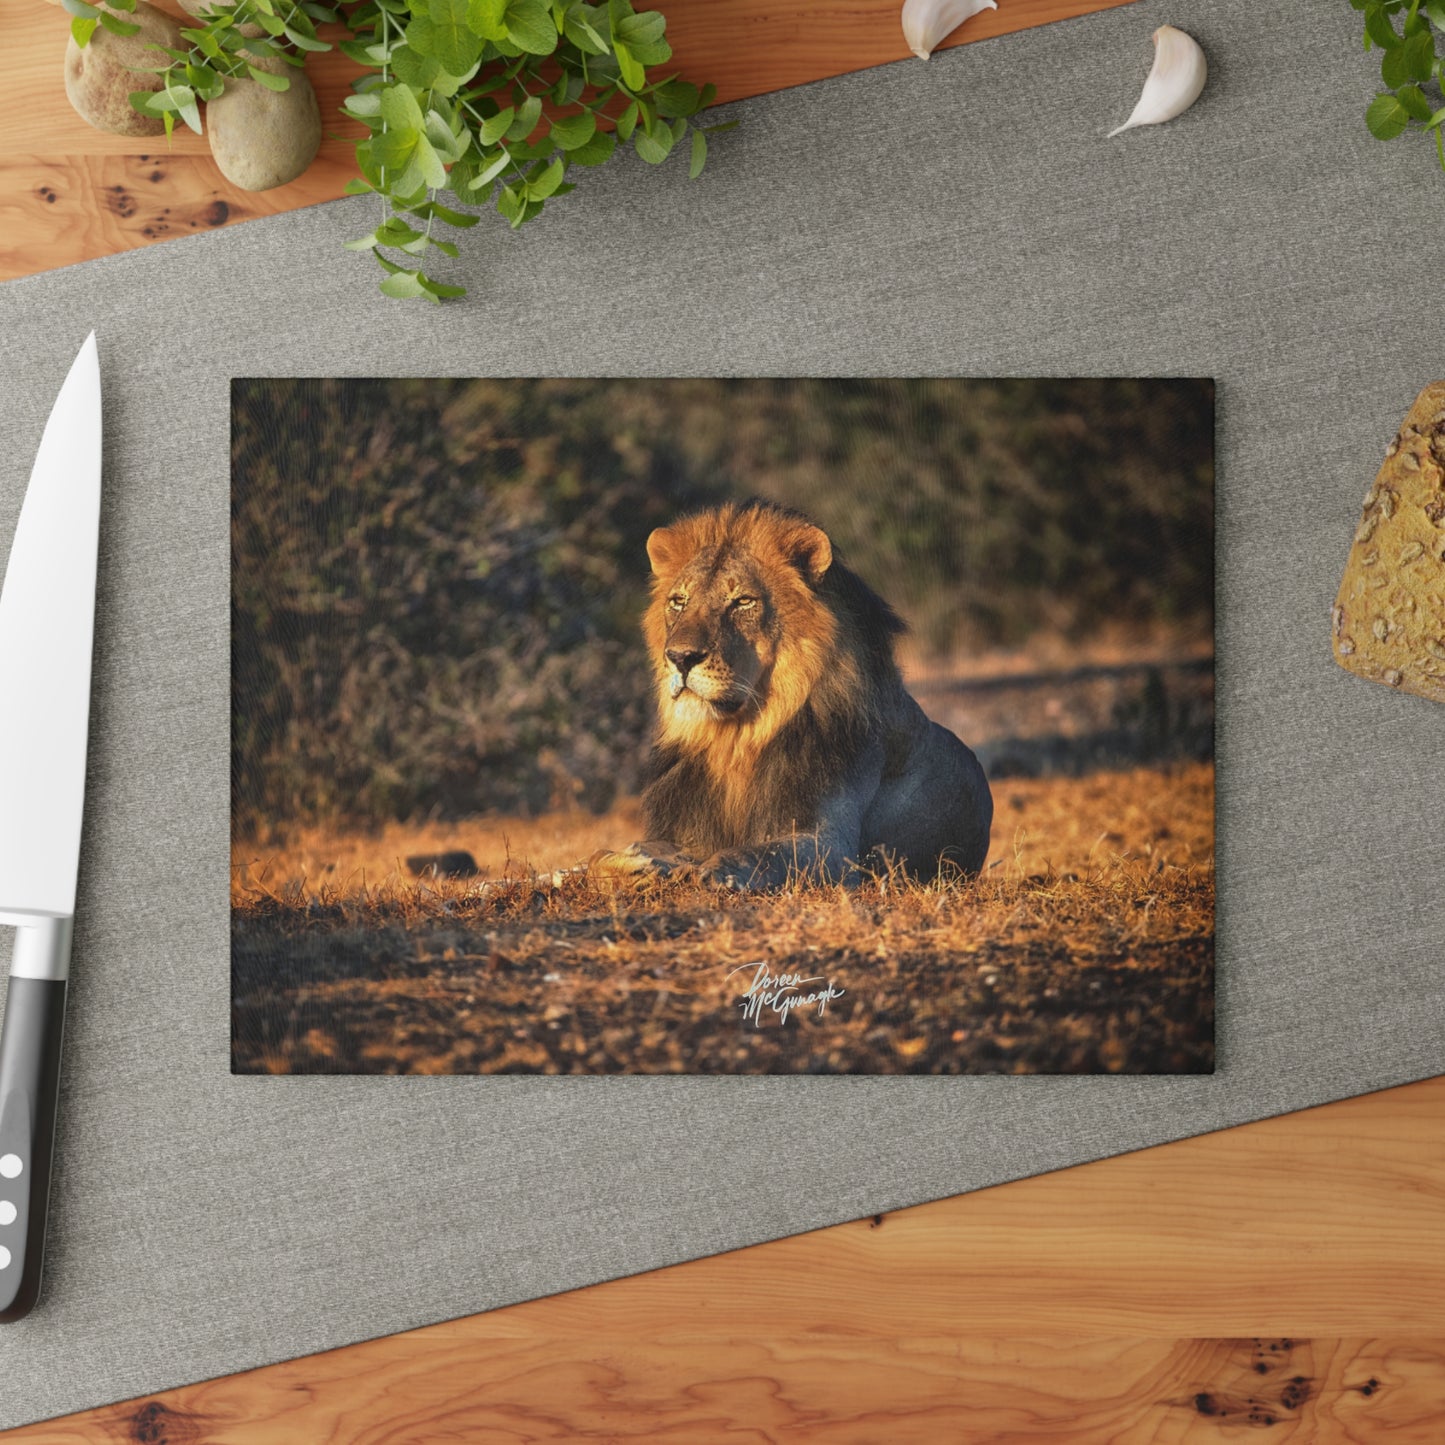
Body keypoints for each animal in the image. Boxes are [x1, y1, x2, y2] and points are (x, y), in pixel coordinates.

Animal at [600, 501, 993, 890]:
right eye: (679, 601)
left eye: (743, 601)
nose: (680, 657)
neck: (735, 739)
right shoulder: (687, 831)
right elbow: (615, 853)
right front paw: (627, 861)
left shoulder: (832, 845)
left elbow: (760, 853)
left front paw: (717, 871)